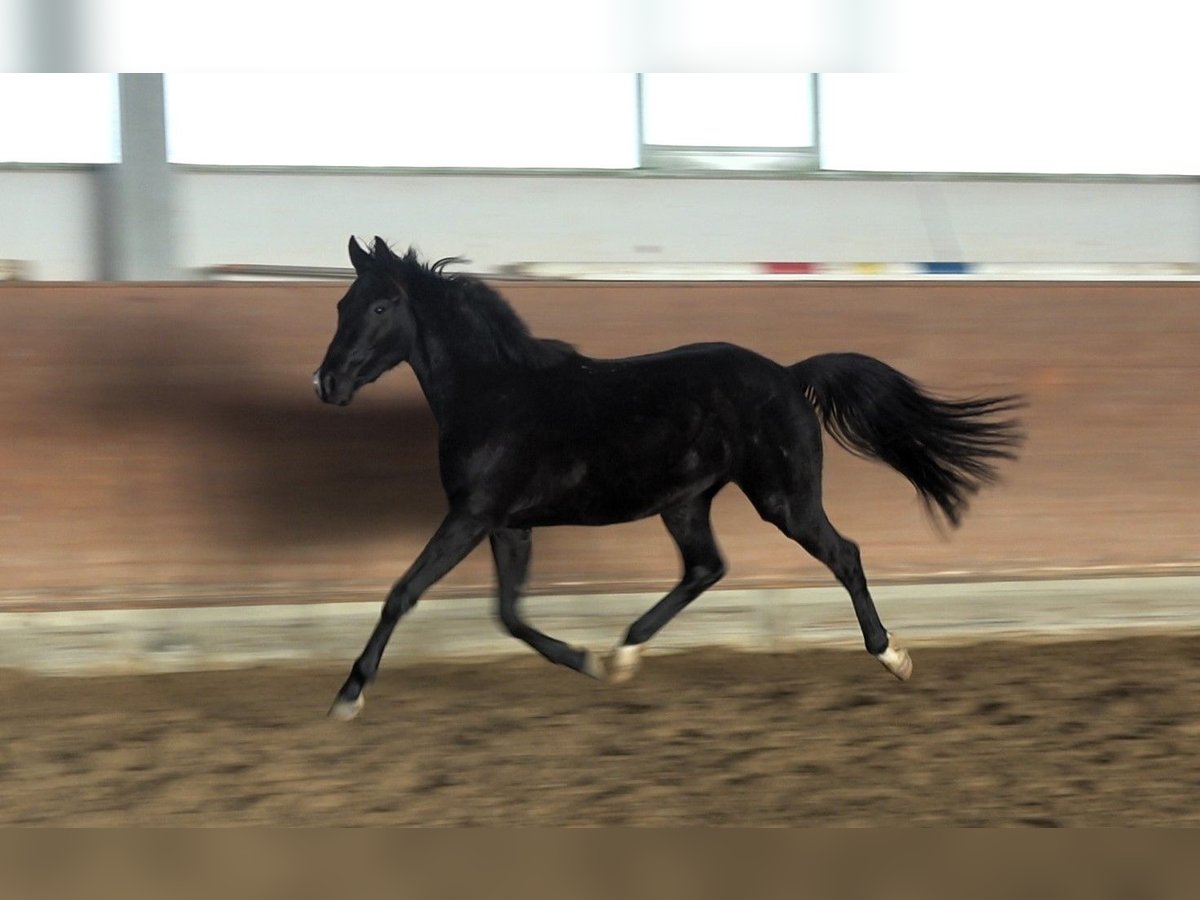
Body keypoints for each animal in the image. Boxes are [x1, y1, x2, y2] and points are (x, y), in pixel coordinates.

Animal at [312, 236, 1022, 724]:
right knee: (706, 567)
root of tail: (789, 374)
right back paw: (625, 653)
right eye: (342, 303)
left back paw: (892, 656)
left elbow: (403, 593)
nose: (327, 382)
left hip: (783, 498)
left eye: (380, 305)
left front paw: (348, 695)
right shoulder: (508, 525)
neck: (497, 394)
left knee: (842, 554)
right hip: (686, 501)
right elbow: (509, 614)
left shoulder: (471, 515)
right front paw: (588, 661)